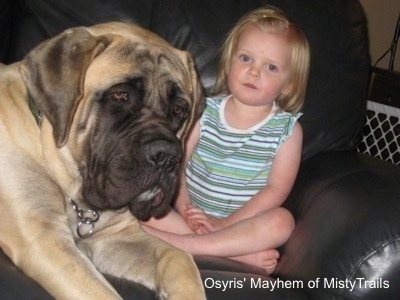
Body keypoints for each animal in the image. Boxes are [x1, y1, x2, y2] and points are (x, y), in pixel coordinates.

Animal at [0, 22, 205, 298]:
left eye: (179, 110)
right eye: (119, 96)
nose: (168, 156)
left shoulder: (116, 235)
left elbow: (179, 257)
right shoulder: (43, 237)